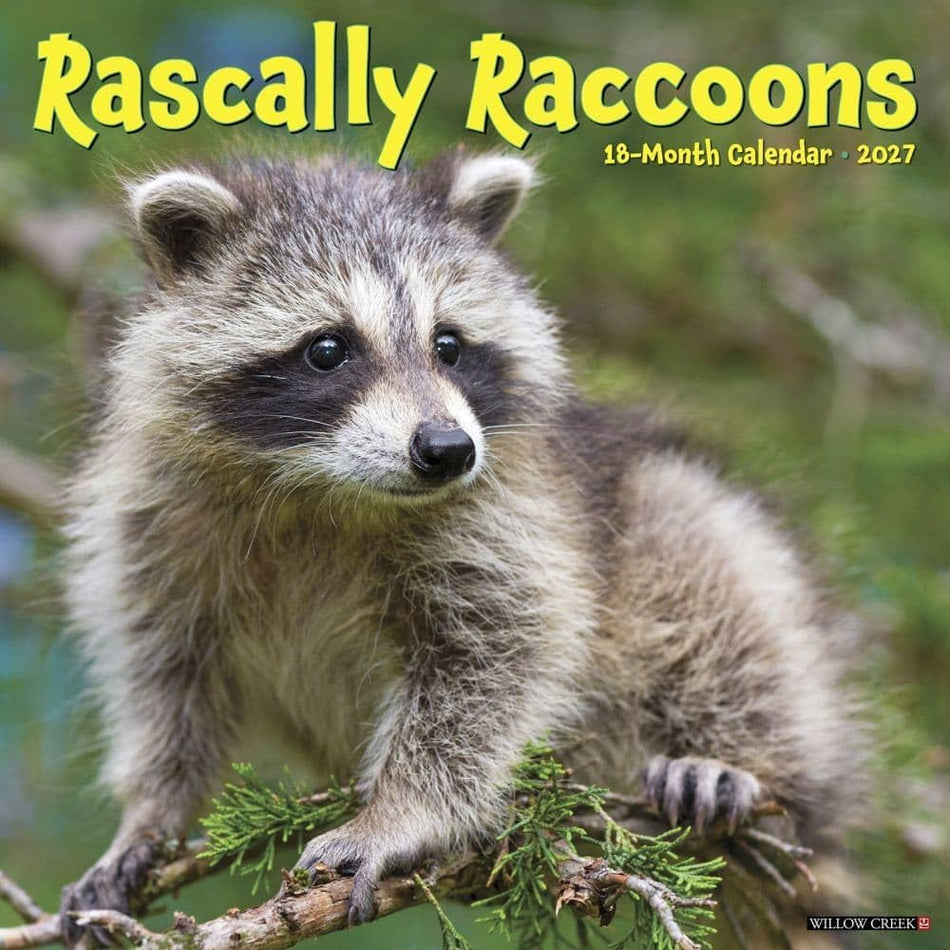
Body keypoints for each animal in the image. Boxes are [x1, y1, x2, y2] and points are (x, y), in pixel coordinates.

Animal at [61, 148, 864, 938]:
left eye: (448, 345)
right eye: (328, 349)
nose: (447, 450)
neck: (323, 488)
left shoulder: (513, 513)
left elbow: (499, 657)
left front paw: (398, 813)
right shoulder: (157, 521)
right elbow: (166, 677)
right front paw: (150, 813)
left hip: (687, 539)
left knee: (716, 580)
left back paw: (743, 764)